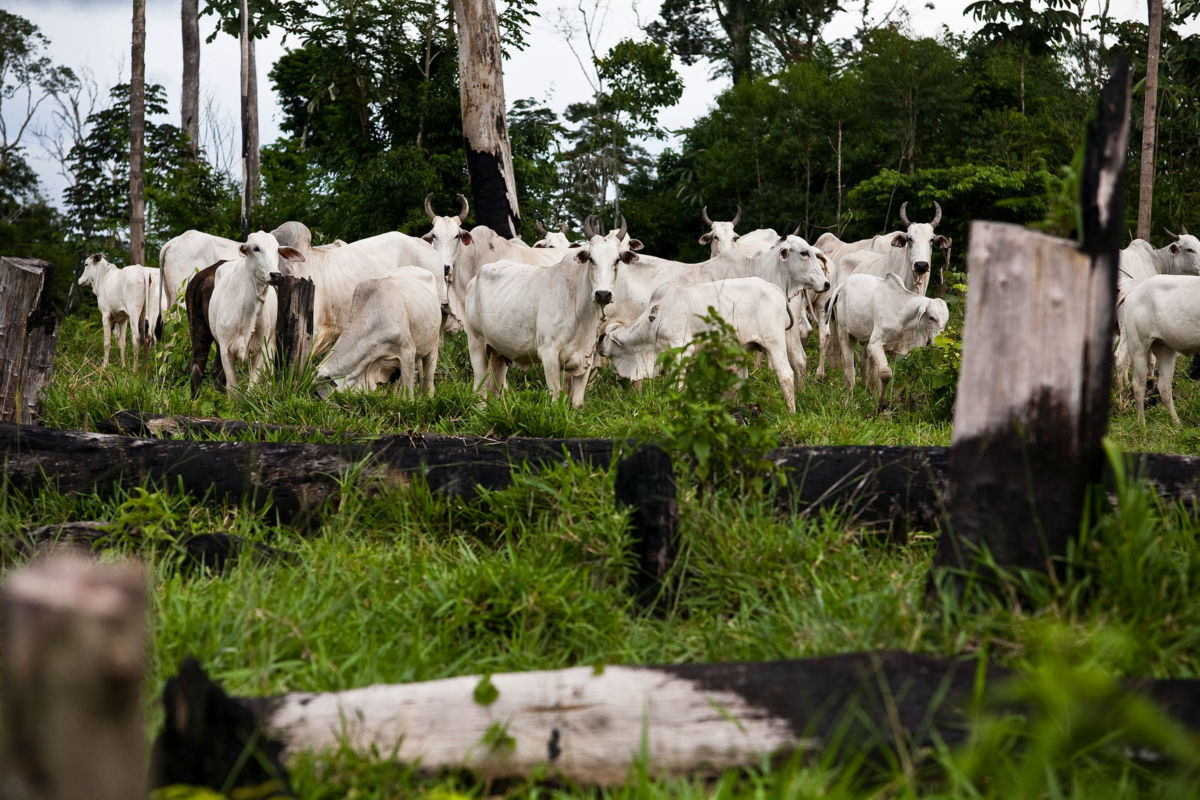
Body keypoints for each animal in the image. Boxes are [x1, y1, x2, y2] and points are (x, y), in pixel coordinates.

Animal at [206, 230, 302, 388]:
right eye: (256, 248)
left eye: (277, 250)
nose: (275, 274)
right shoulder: (225, 350)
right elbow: (232, 387)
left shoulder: (261, 350)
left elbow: (252, 387)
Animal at [597, 275, 796, 412]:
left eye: (604, 336)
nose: (598, 344)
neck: (653, 320)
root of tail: (776, 289)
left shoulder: (680, 349)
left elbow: (677, 386)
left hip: (774, 342)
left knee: (785, 375)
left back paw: (791, 413)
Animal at [1118, 273, 1200, 424]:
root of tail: (1133, 291)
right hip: (1138, 347)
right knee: (1138, 385)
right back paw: (1142, 423)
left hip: (1164, 348)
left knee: (1164, 387)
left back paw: (1177, 423)